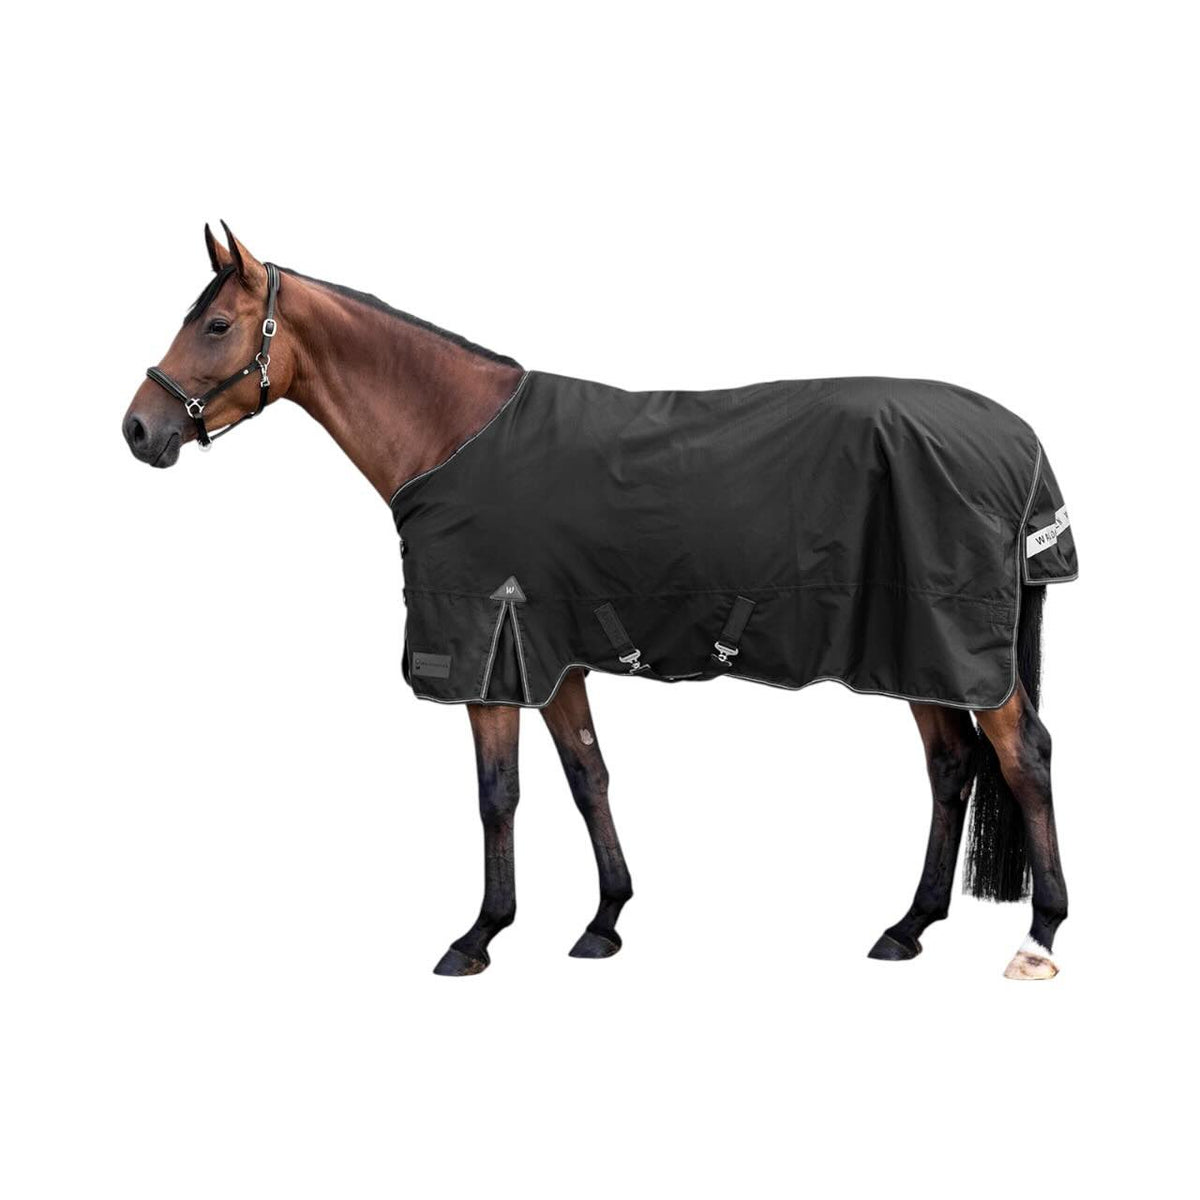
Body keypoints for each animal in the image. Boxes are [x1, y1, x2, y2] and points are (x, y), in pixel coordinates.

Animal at [122, 224, 1073, 980]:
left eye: (214, 324)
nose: (138, 430)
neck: (452, 435)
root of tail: (1018, 440)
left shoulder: (491, 656)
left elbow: (498, 794)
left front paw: (479, 936)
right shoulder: (555, 655)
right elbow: (588, 775)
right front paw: (606, 920)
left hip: (951, 648)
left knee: (1022, 757)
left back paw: (1040, 936)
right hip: (918, 651)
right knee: (951, 767)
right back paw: (908, 927)